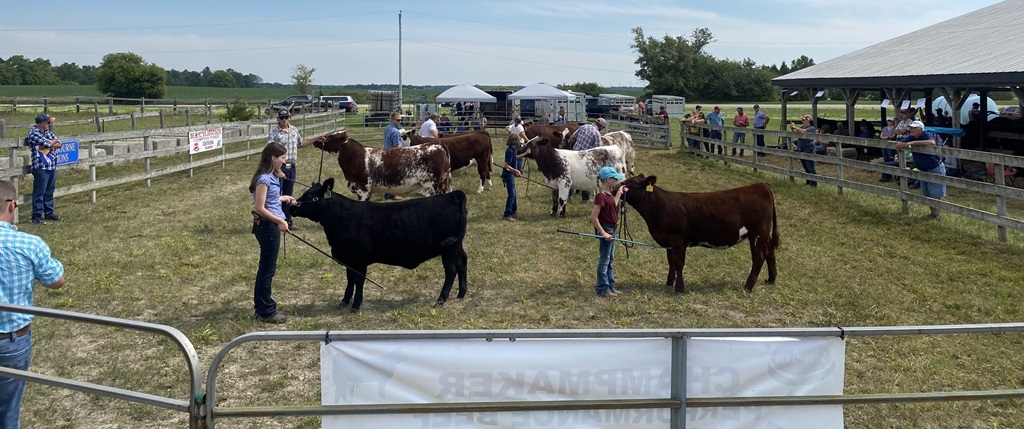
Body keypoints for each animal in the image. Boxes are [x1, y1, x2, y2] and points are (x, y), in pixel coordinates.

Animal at [291, 178, 468, 312]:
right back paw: (461, 293)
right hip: (457, 245)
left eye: (313, 197)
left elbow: (358, 280)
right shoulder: (348, 259)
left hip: (448, 249)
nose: (293, 206)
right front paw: (345, 300)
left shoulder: (359, 258)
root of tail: (453, 194)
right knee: (462, 262)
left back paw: (441, 299)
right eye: (305, 194)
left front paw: (355, 305)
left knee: (451, 270)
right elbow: (349, 278)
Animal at [615, 174, 780, 293]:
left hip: (758, 233)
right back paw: (771, 279)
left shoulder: (678, 238)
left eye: (630, 182)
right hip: (764, 234)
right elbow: (671, 261)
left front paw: (679, 288)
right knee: (770, 251)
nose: (615, 187)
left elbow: (678, 263)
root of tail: (761, 185)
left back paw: (748, 286)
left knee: (759, 257)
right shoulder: (668, 241)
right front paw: (669, 282)